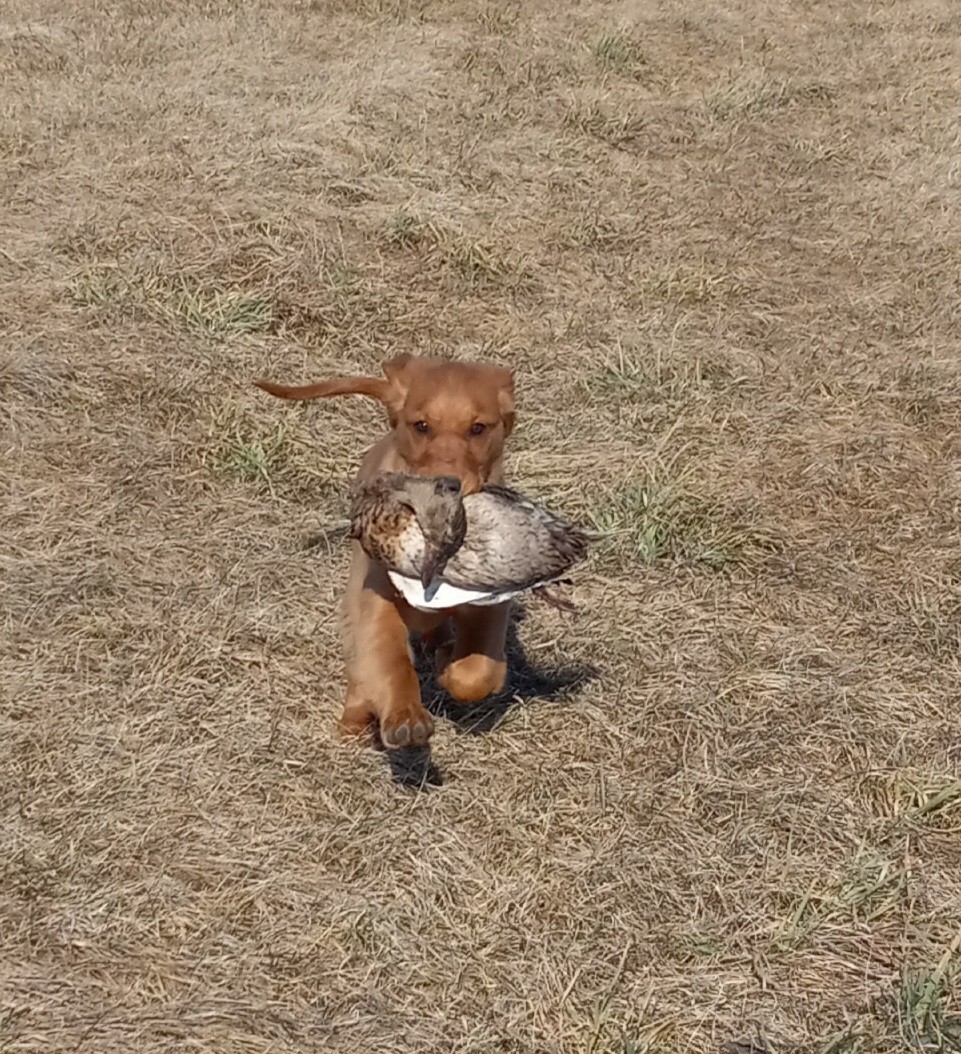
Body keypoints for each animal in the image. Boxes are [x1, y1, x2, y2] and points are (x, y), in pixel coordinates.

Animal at [251, 354, 514, 750]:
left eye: (478, 429)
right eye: (421, 426)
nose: (447, 486)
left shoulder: (489, 607)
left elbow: (477, 671)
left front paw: (450, 668)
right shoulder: (376, 602)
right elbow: (391, 663)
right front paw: (405, 717)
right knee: (361, 673)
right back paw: (355, 722)